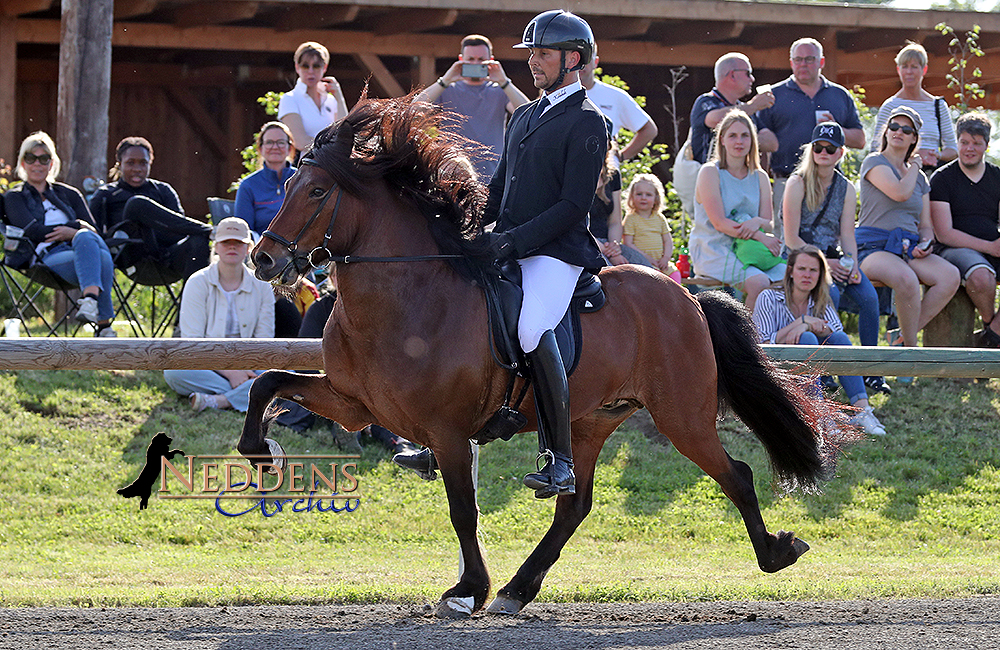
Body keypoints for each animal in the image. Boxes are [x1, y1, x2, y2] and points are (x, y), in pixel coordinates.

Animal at [240, 93, 836, 616]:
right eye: (287, 183)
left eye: (317, 191)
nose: (263, 259)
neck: (404, 297)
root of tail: (686, 295)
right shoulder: (354, 405)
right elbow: (268, 381)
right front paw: (261, 454)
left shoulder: (448, 432)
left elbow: (463, 511)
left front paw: (467, 592)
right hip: (589, 420)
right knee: (574, 504)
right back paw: (518, 589)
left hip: (681, 415)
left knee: (736, 474)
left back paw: (776, 552)